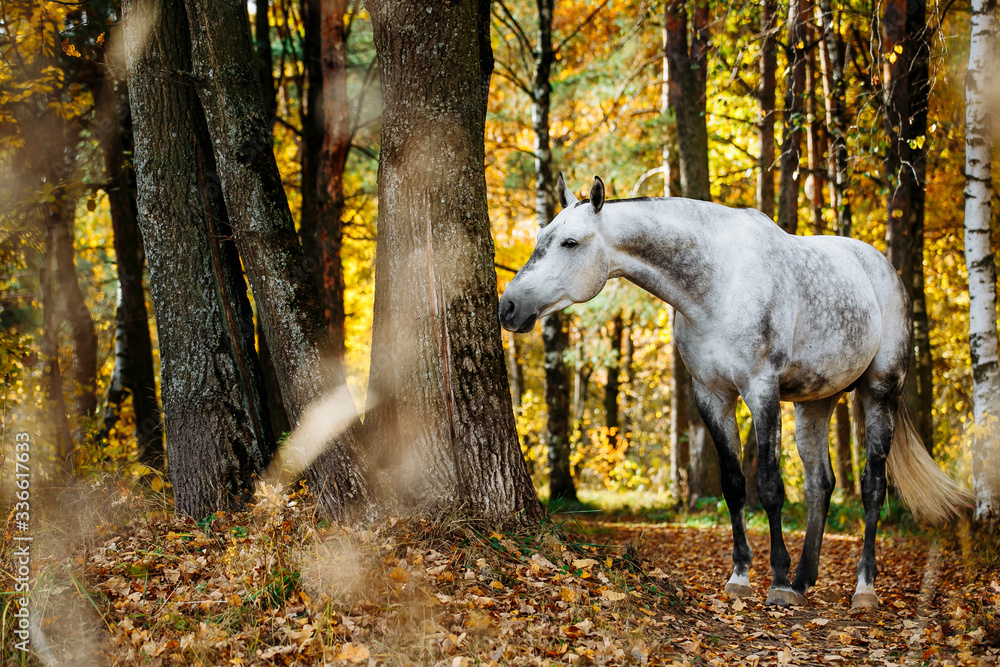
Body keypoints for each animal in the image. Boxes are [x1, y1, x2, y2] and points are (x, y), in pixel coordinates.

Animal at [499, 174, 963, 609]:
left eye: (570, 242)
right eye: (541, 238)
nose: (508, 307)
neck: (717, 284)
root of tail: (884, 269)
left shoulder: (761, 390)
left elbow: (770, 486)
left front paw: (777, 581)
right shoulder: (712, 395)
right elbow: (734, 484)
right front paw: (741, 577)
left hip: (880, 391)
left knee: (873, 486)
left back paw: (861, 587)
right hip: (816, 402)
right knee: (820, 483)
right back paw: (805, 580)